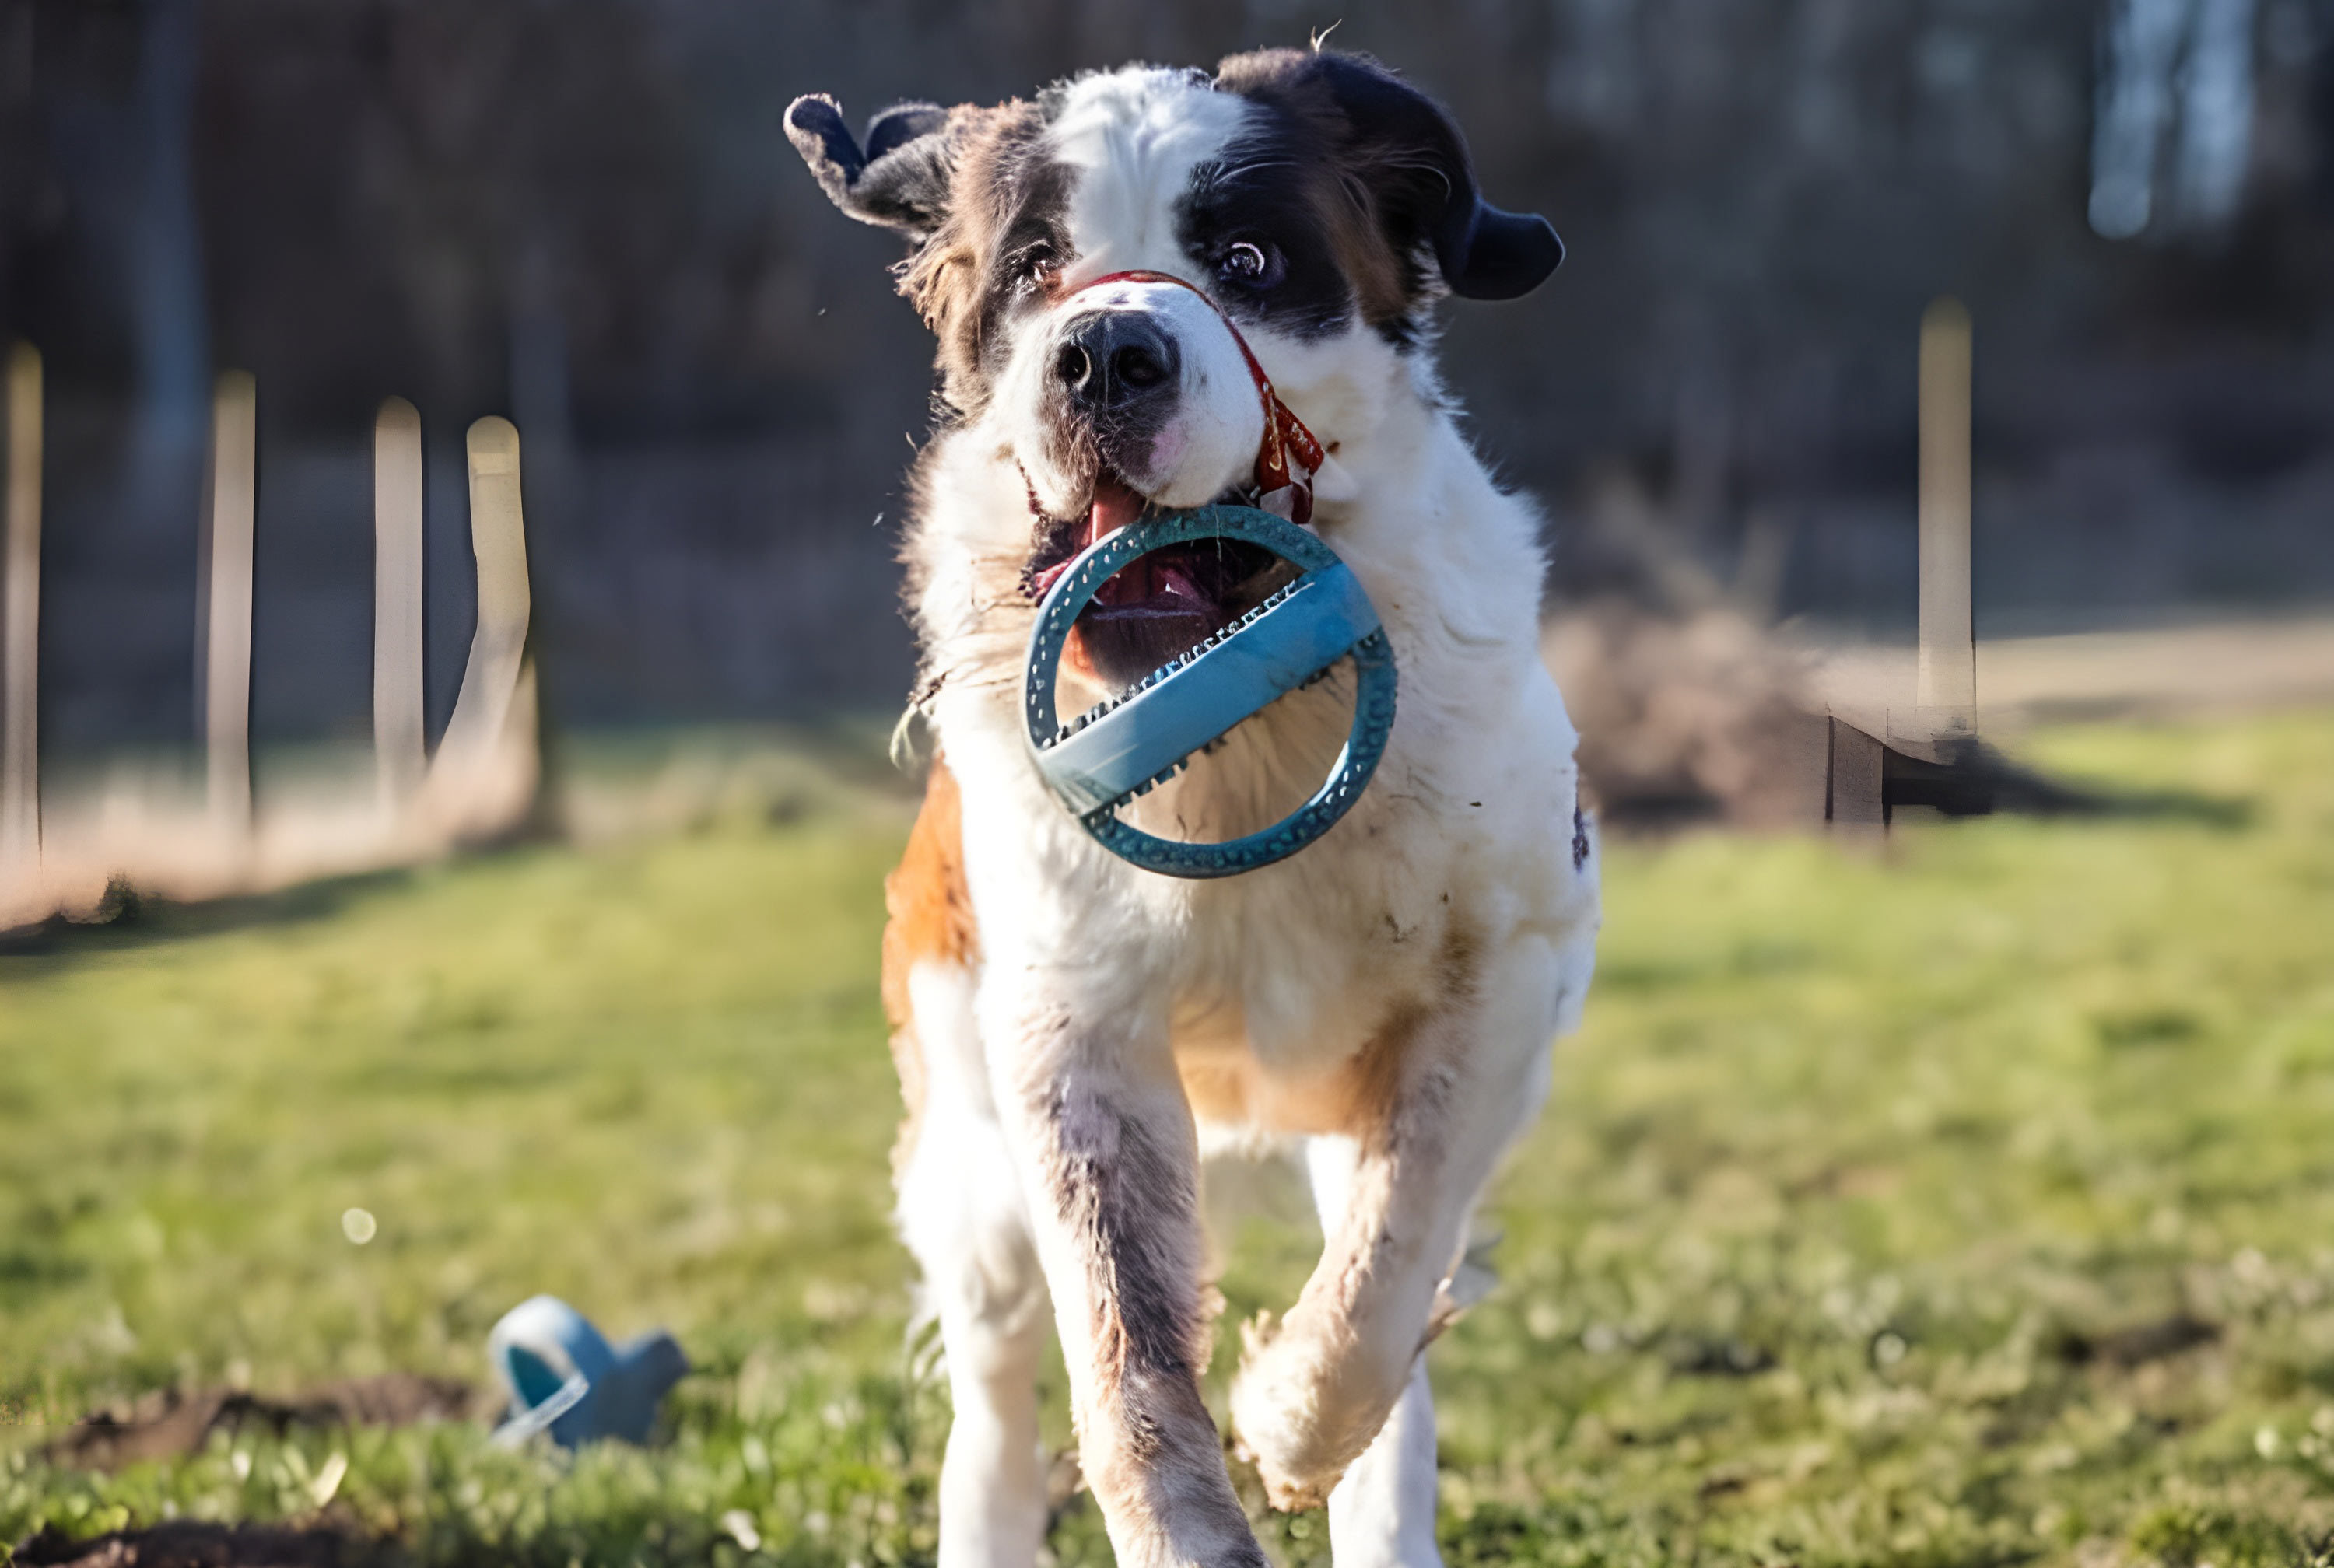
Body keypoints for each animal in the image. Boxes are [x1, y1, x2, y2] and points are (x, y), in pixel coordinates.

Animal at [794, 46, 1596, 1568]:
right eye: (1036, 268)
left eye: (1247, 260)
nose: (1105, 352)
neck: (1246, 726)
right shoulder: (1071, 1035)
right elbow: (1125, 1349)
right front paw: (1188, 1517)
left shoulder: (1509, 969)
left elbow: (1395, 1249)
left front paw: (1292, 1418)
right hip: (966, 1152)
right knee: (995, 1387)